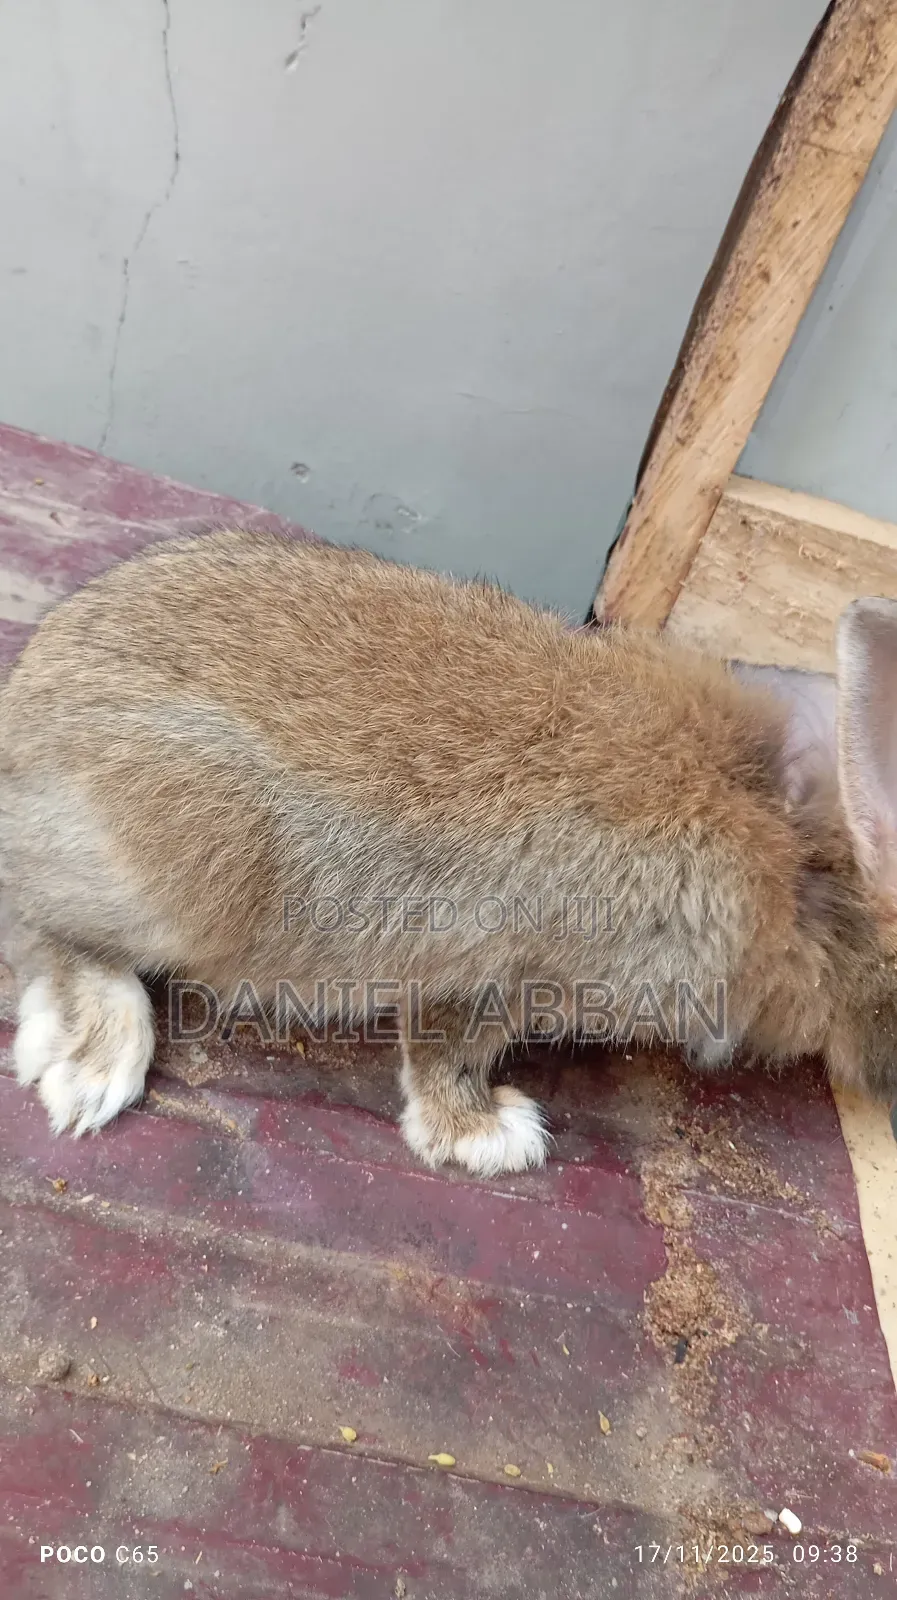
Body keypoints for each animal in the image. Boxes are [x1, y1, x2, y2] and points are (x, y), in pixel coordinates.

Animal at [1, 526, 896, 1178]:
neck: (784, 854)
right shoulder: (513, 965)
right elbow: (446, 1047)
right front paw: (494, 1133)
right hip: (185, 871)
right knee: (45, 922)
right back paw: (90, 1068)